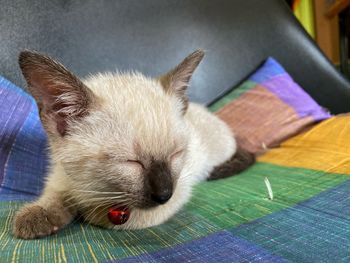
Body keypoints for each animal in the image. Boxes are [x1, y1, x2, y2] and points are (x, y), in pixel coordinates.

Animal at [12, 49, 253, 239]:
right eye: (131, 162)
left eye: (176, 154)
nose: (165, 194)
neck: (94, 188)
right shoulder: (60, 177)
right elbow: (55, 195)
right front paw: (38, 217)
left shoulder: (180, 189)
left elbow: (102, 215)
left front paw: (83, 210)